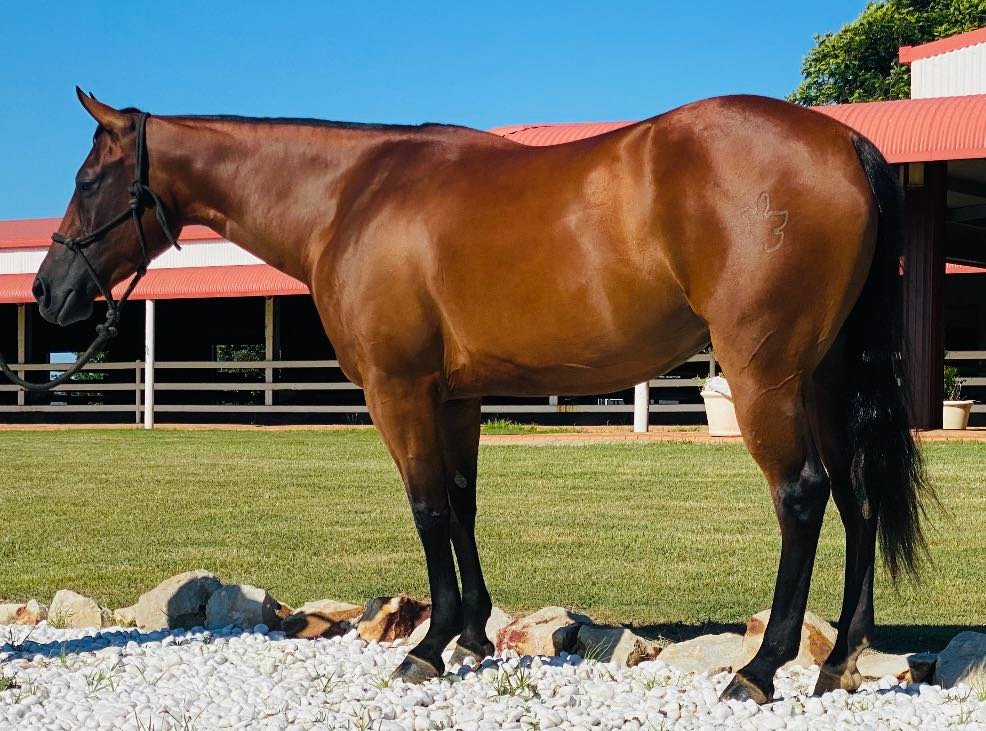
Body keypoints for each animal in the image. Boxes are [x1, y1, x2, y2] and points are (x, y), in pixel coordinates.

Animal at [32, 88, 930, 703]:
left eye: (87, 179)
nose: (46, 292)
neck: (349, 197)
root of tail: (845, 141)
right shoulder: (455, 399)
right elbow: (462, 505)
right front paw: (471, 633)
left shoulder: (398, 391)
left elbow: (428, 507)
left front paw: (426, 647)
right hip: (823, 377)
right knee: (856, 499)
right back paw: (839, 659)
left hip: (766, 376)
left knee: (803, 497)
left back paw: (762, 666)